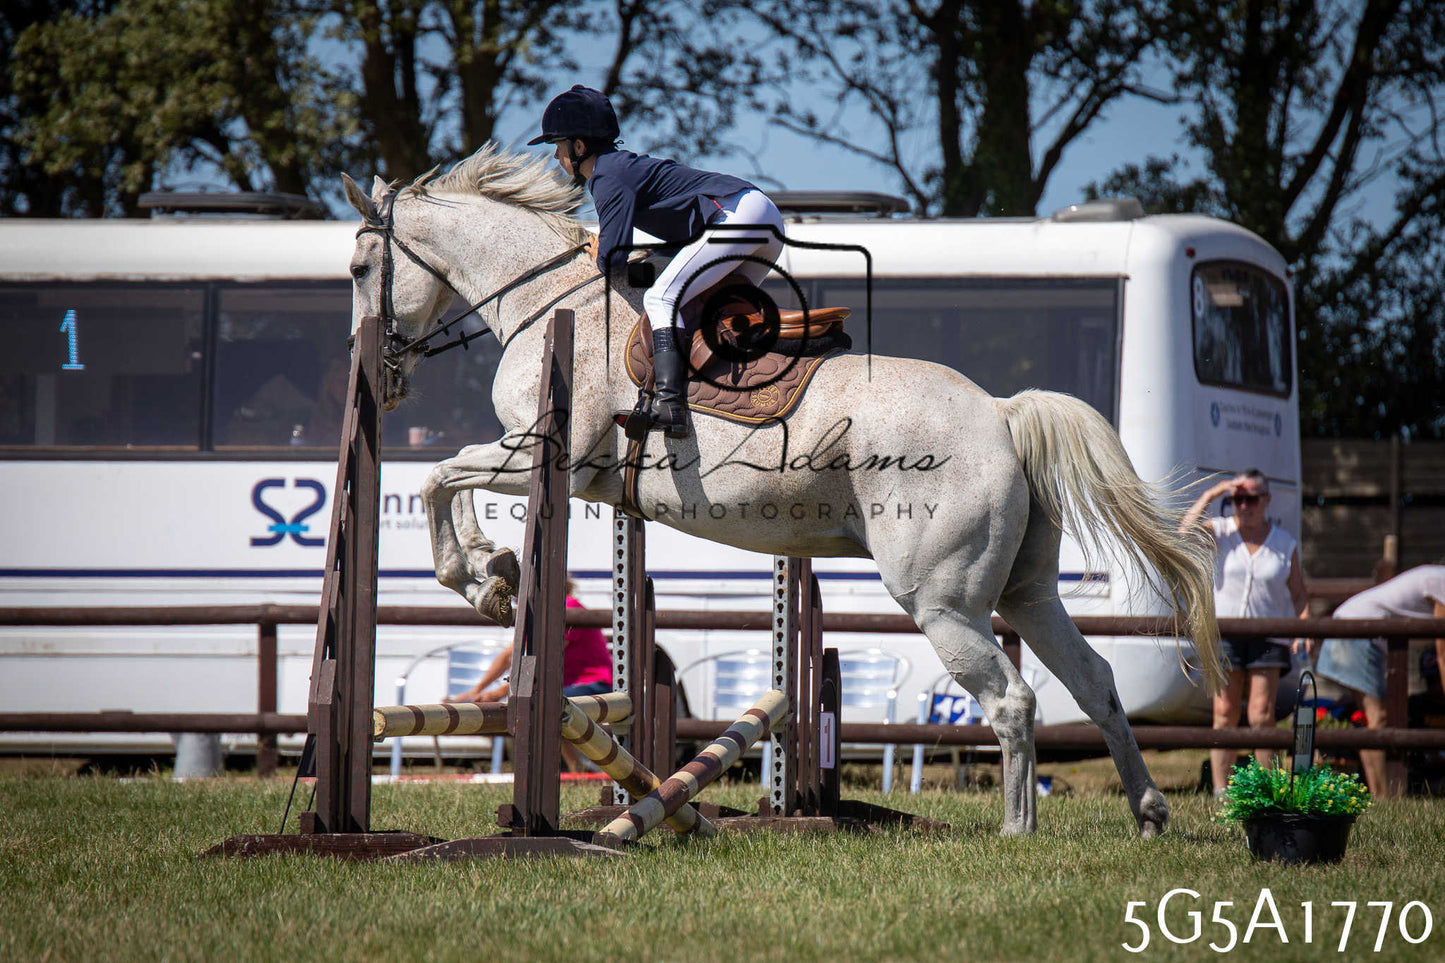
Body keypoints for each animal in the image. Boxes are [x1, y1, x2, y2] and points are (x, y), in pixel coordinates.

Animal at [341, 143, 1222, 837]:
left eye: (357, 269)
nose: (379, 375)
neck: (545, 303)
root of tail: (1000, 413)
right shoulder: (544, 463)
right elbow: (448, 480)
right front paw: (493, 572)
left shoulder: (543, 455)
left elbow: (439, 477)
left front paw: (482, 575)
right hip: (1026, 592)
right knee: (1093, 681)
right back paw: (1146, 814)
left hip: (942, 601)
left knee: (1010, 701)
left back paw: (1015, 829)